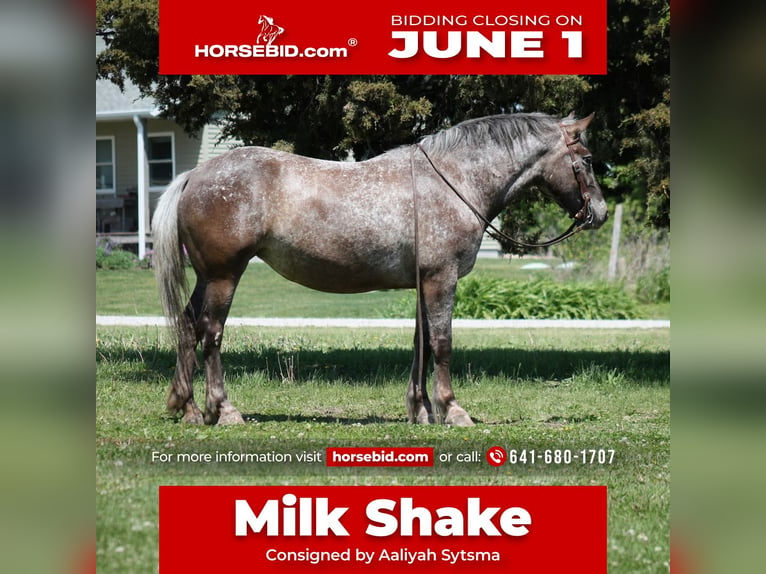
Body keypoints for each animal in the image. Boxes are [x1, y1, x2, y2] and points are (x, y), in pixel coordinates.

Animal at [152, 112, 608, 427]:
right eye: (586, 159)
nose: (599, 213)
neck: (453, 181)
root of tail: (196, 174)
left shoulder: (425, 283)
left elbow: (420, 344)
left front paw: (421, 410)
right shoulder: (441, 279)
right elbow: (442, 343)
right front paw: (452, 410)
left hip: (207, 276)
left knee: (188, 327)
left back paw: (187, 407)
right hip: (225, 276)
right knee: (211, 333)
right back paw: (224, 409)